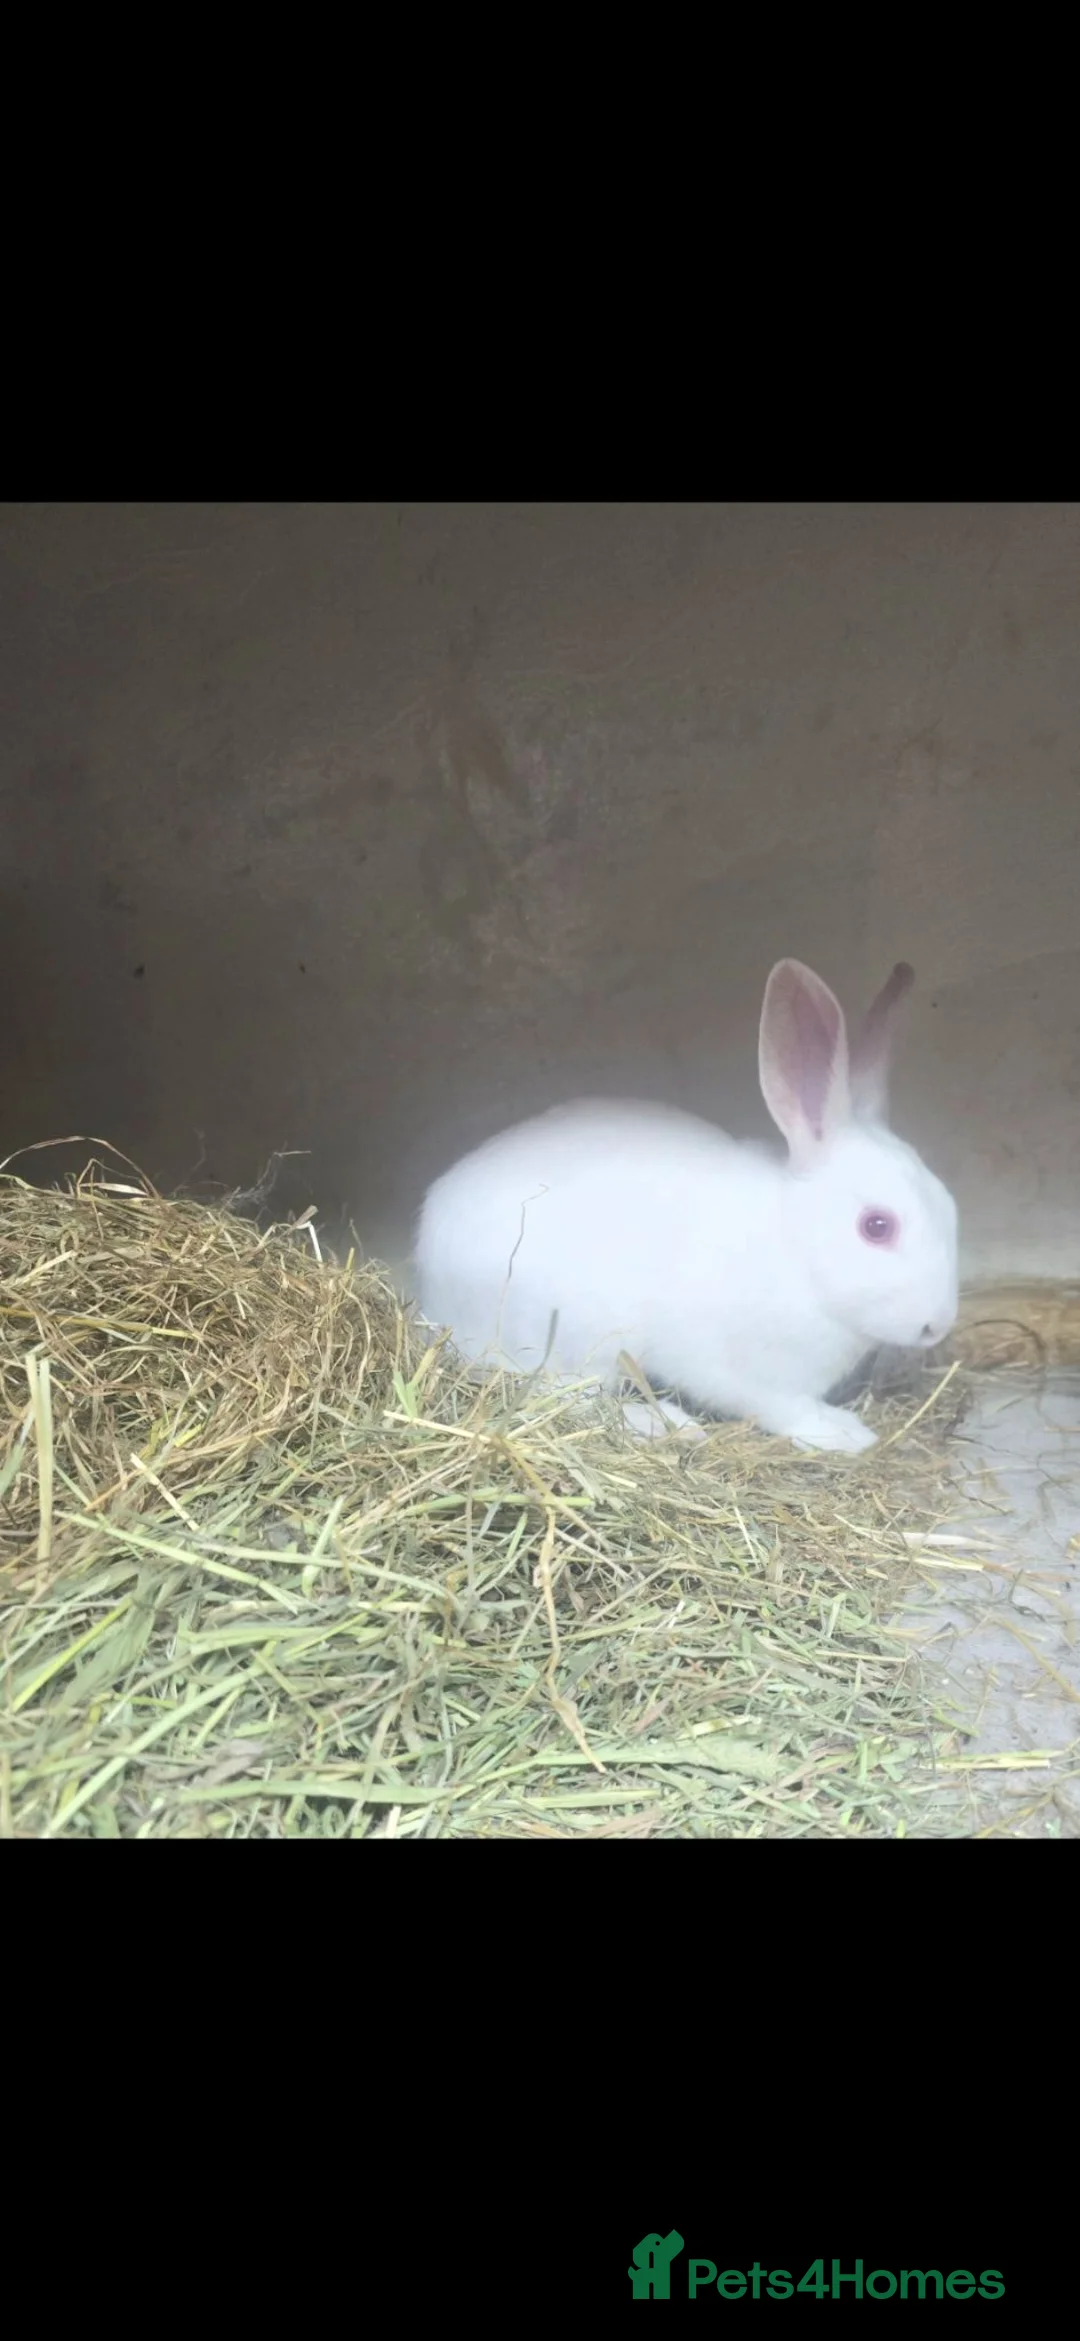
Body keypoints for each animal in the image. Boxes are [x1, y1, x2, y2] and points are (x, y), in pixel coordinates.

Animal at [413, 958, 959, 1454]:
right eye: (877, 1226)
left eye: (951, 1208)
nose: (937, 1326)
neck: (798, 1255)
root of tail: (433, 1293)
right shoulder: (749, 1375)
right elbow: (785, 1410)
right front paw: (846, 1434)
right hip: (571, 1334)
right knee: (568, 1396)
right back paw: (668, 1425)